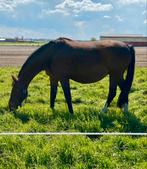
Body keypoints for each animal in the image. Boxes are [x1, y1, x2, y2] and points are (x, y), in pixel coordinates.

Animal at [8, 37, 136, 113]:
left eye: (15, 91)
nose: (10, 107)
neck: (52, 54)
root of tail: (127, 46)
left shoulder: (64, 78)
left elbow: (67, 96)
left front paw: (71, 112)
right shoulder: (53, 78)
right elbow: (53, 94)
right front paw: (52, 110)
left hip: (115, 74)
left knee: (113, 92)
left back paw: (102, 112)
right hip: (117, 75)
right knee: (124, 89)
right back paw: (125, 110)